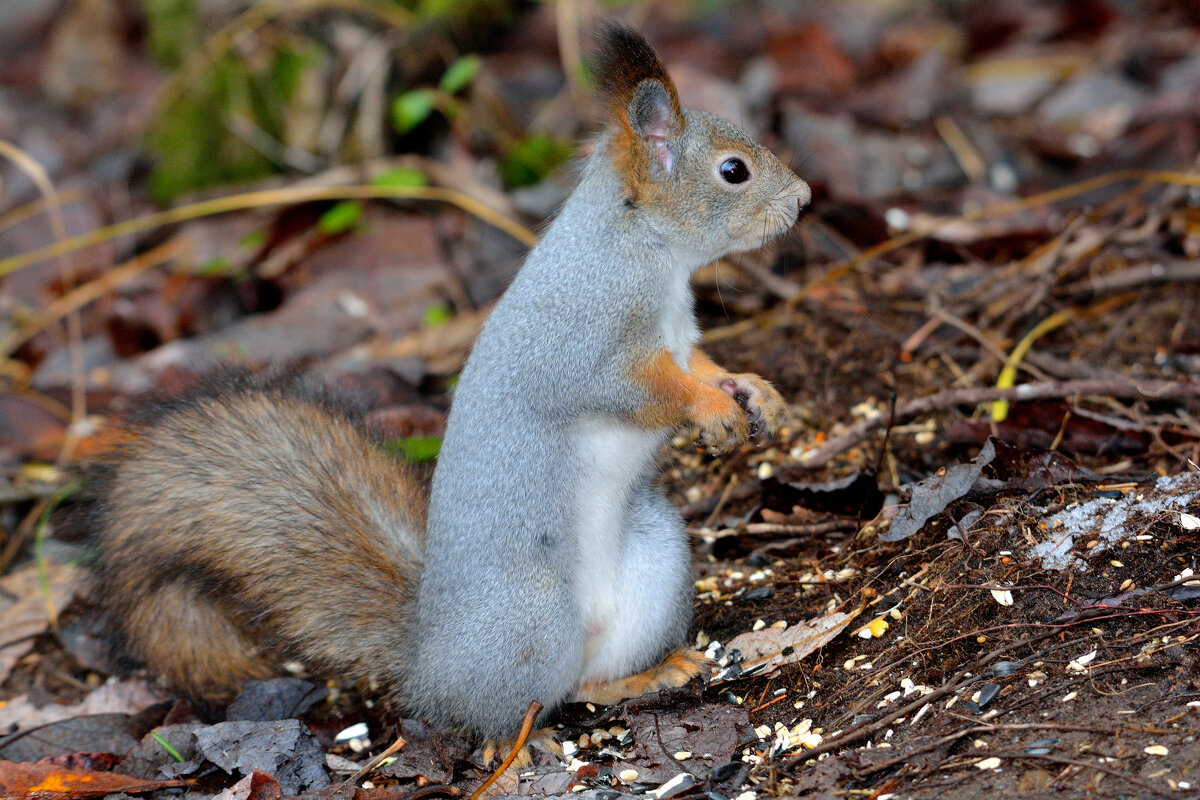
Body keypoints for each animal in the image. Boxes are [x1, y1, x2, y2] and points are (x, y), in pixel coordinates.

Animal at [87, 29, 806, 743]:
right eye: (734, 171)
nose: (803, 198)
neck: (646, 251)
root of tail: (430, 661)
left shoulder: (679, 339)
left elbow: (702, 365)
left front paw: (754, 390)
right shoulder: (585, 346)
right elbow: (644, 389)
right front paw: (710, 407)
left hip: (655, 561)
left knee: (589, 681)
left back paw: (650, 674)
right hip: (535, 617)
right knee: (525, 705)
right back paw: (524, 739)